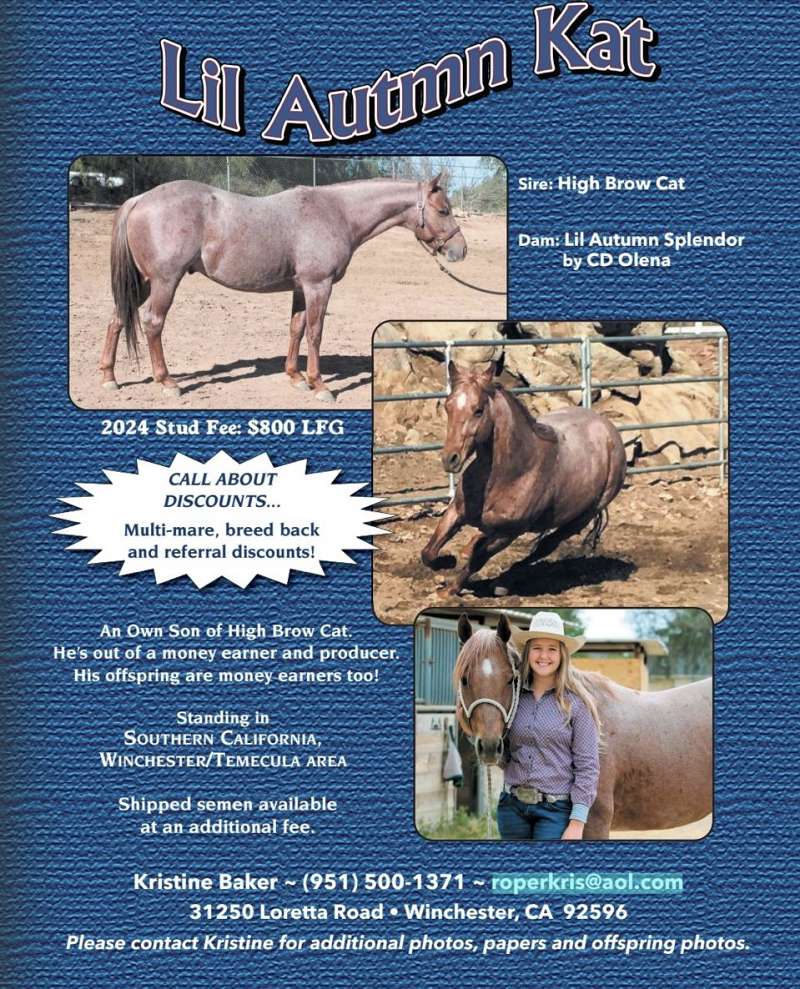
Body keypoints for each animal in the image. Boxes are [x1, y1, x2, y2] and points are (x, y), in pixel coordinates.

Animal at [99, 174, 466, 403]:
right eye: (443, 210)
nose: (460, 251)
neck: (337, 212)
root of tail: (140, 199)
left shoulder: (301, 288)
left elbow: (296, 328)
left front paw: (295, 377)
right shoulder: (319, 285)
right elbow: (315, 333)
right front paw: (319, 385)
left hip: (142, 283)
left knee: (117, 318)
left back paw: (109, 378)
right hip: (164, 281)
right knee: (153, 323)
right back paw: (166, 382)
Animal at [421, 361, 627, 593]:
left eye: (478, 410)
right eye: (448, 407)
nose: (450, 458)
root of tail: (609, 431)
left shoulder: (509, 533)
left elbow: (478, 559)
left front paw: (450, 588)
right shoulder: (456, 511)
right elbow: (429, 552)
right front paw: (447, 562)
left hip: (581, 517)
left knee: (544, 548)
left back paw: (505, 580)